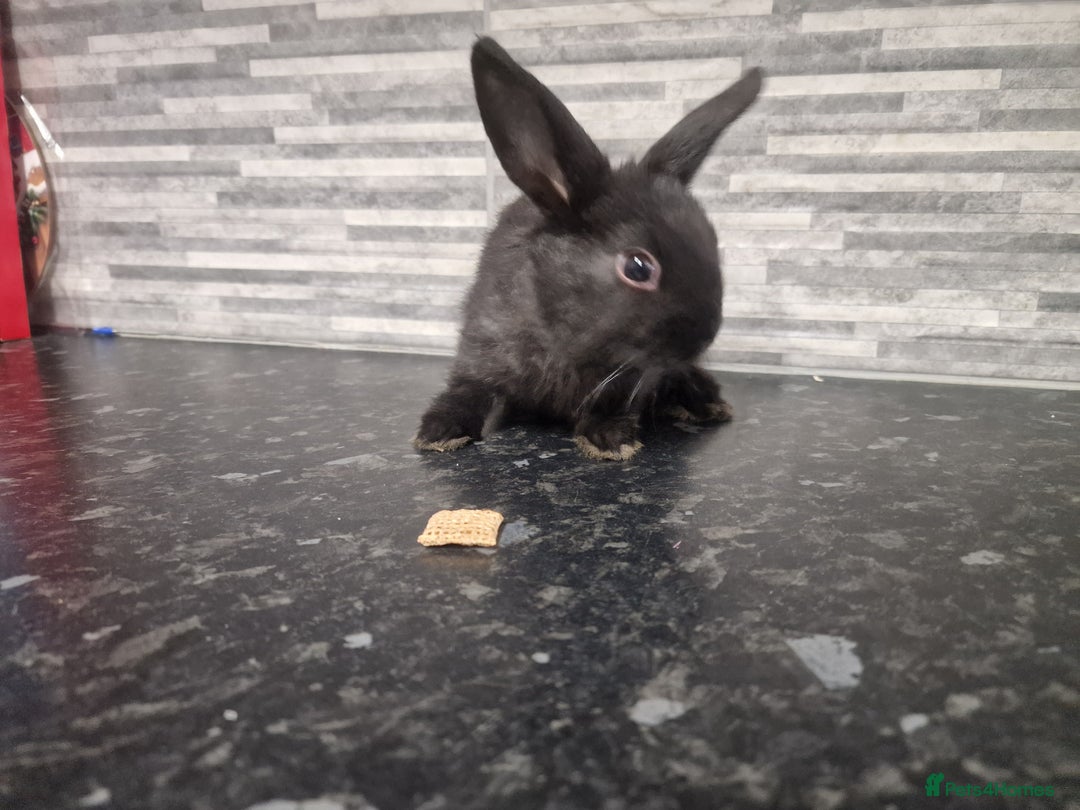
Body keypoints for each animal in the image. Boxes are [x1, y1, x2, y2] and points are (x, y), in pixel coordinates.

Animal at [415, 37, 763, 461]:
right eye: (638, 268)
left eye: (713, 243)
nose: (705, 336)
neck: (566, 339)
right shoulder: (481, 349)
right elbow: (469, 390)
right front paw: (439, 431)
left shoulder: (633, 376)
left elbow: (613, 402)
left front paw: (611, 439)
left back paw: (708, 401)